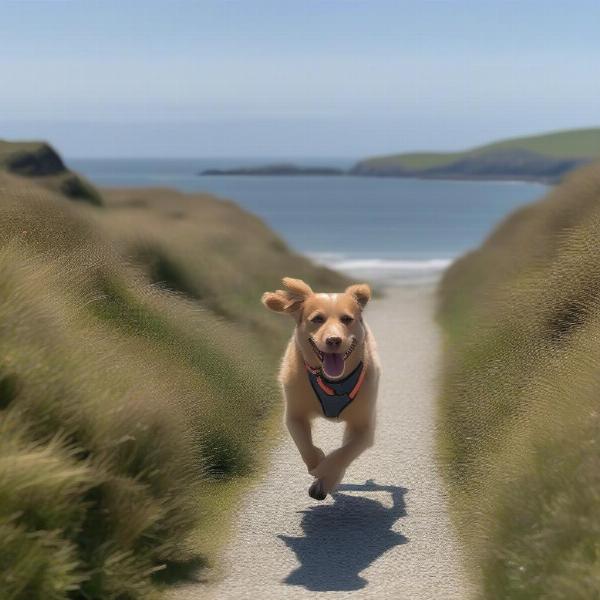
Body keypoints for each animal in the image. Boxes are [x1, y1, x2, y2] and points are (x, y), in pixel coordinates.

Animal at [262, 278, 380, 500]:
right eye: (317, 319)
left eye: (346, 319)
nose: (333, 340)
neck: (334, 382)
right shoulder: (294, 414)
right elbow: (305, 447)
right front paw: (317, 460)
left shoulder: (364, 427)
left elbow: (342, 455)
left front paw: (325, 472)